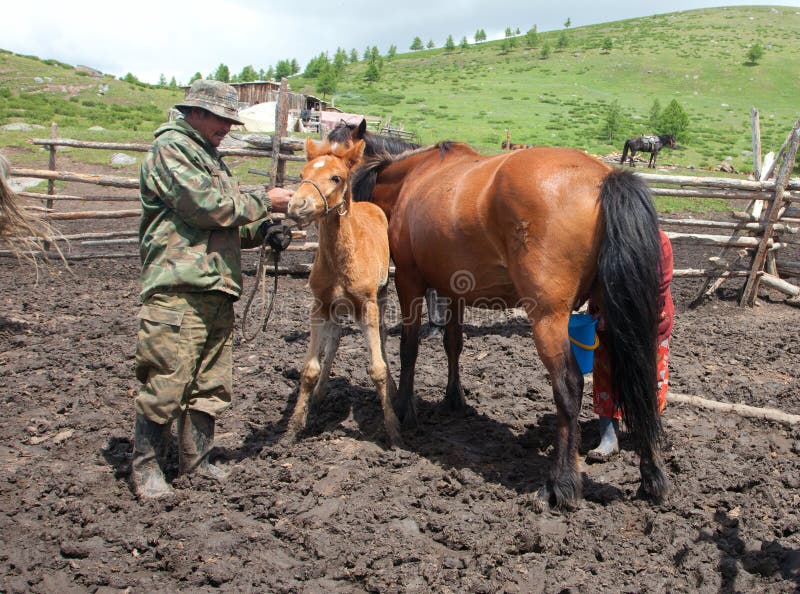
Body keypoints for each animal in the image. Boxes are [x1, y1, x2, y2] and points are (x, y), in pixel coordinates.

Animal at [284, 139, 404, 444]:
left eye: (336, 177)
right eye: (302, 173)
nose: (296, 205)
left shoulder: (368, 305)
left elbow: (377, 367)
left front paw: (393, 429)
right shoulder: (319, 305)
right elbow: (310, 368)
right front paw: (293, 427)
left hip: (381, 296)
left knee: (382, 336)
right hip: (337, 307)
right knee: (335, 339)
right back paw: (321, 392)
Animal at [352, 141, 668, 506]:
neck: (412, 179)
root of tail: (605, 178)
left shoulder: (408, 281)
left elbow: (409, 348)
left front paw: (404, 408)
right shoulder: (454, 290)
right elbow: (453, 344)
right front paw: (454, 399)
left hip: (548, 319)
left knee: (569, 386)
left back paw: (562, 483)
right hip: (615, 313)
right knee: (638, 378)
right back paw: (652, 476)